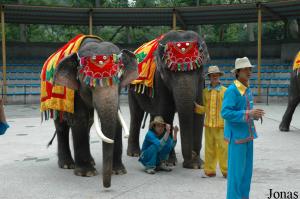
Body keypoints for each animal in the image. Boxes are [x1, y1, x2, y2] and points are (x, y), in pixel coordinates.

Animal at [49, 37, 138, 188]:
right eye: (89, 85)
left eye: (119, 79)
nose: (107, 186)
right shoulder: (76, 93)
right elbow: (79, 120)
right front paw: (86, 173)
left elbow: (116, 122)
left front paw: (119, 171)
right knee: (61, 127)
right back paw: (67, 165)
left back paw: (90, 161)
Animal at [127, 30, 210, 169]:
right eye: (169, 72)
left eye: (199, 69)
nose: (190, 160)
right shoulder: (159, 80)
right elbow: (166, 112)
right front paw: (170, 162)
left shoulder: (200, 82)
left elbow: (198, 114)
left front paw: (197, 165)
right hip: (131, 89)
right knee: (136, 114)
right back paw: (134, 154)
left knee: (154, 114)